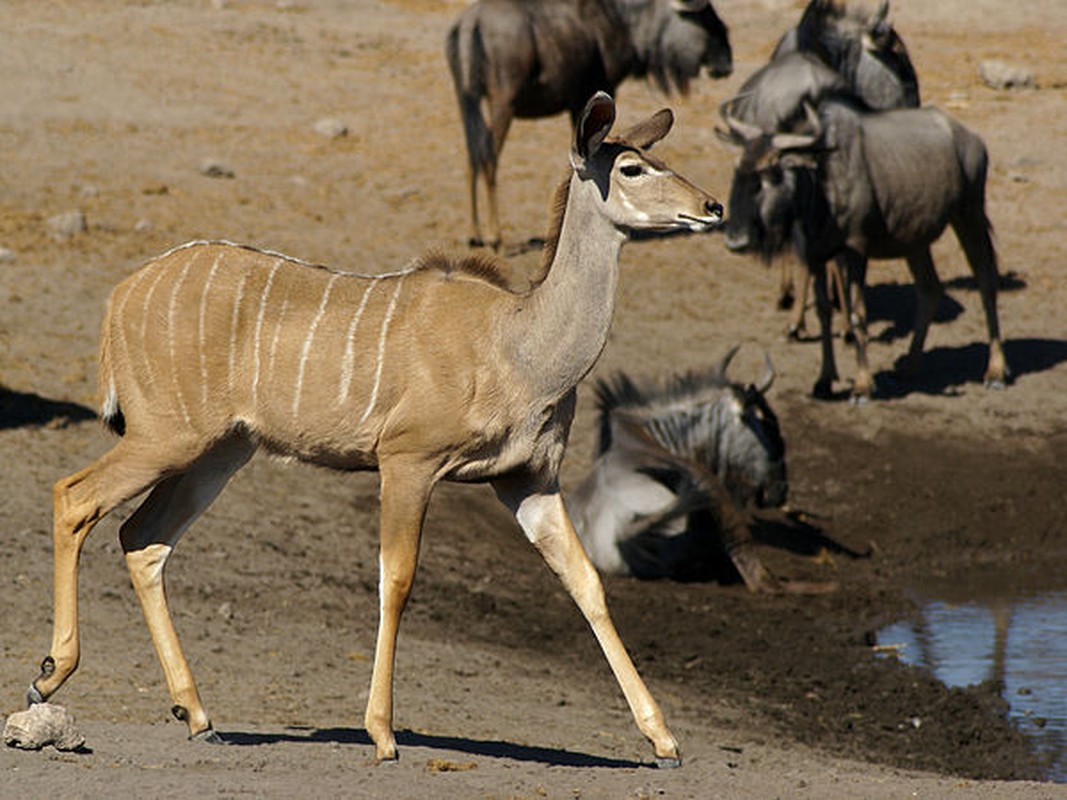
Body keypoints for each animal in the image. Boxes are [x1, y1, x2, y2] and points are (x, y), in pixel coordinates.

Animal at [27, 90, 725, 768]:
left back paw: (199, 717)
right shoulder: (407, 462)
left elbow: (587, 582)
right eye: (631, 167)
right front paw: (384, 735)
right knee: (75, 498)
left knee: (143, 539)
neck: (518, 343)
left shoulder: (527, 480)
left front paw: (664, 742)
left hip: (219, 454)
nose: (712, 206)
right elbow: (398, 578)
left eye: (660, 157)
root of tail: (120, 297)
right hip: (165, 438)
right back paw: (49, 676)